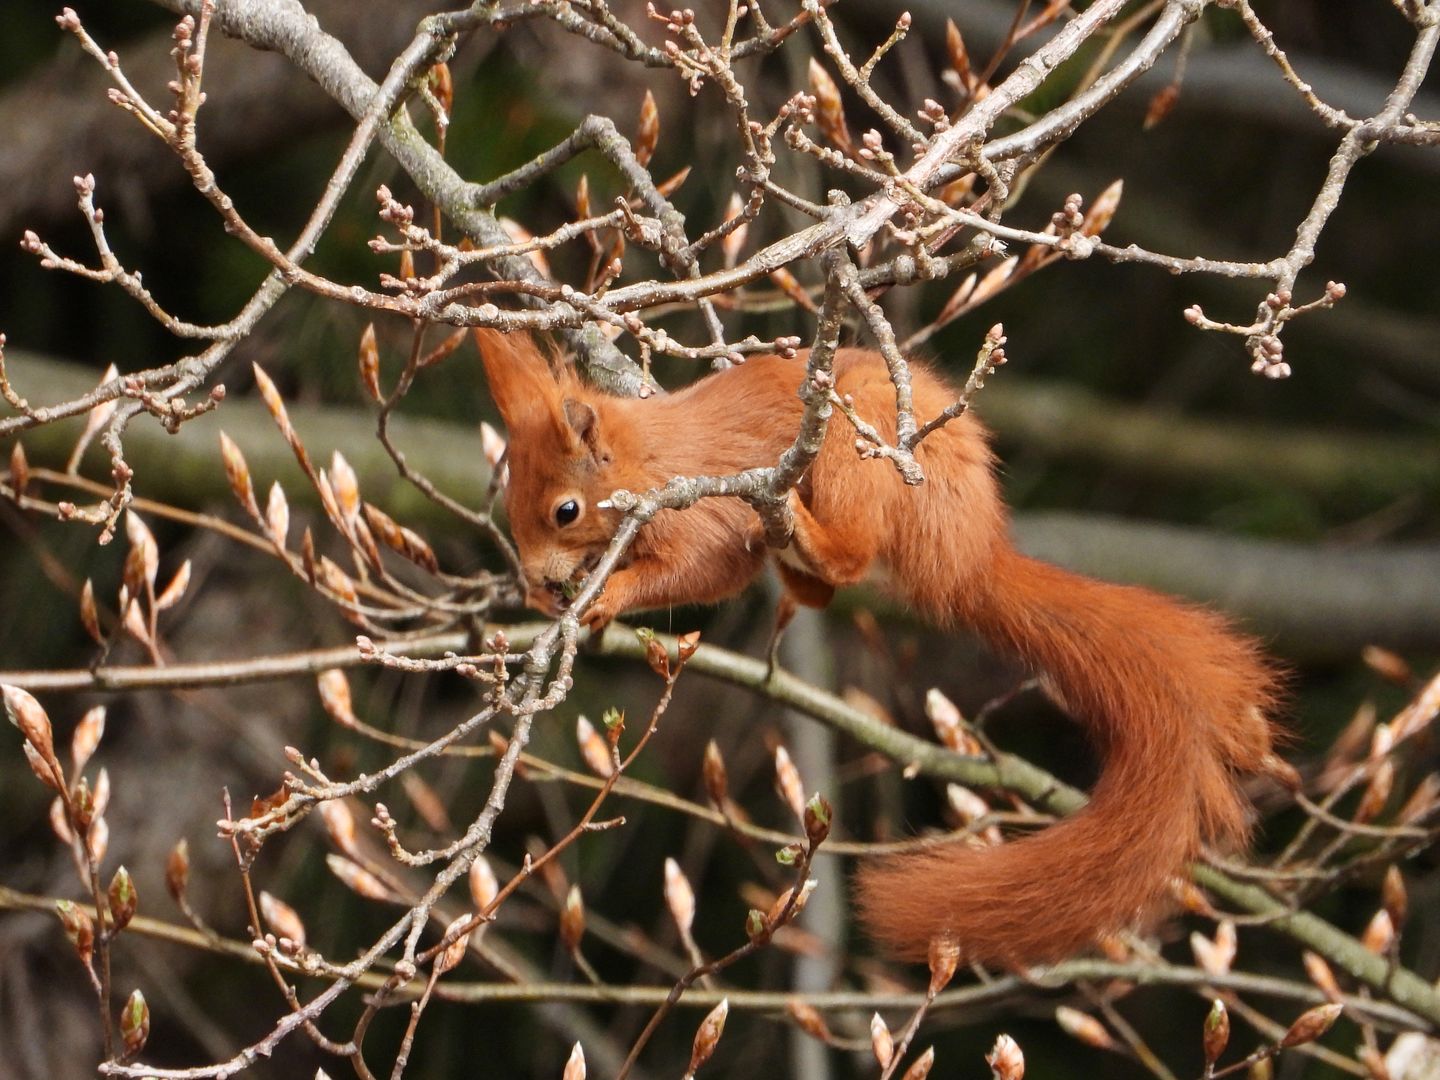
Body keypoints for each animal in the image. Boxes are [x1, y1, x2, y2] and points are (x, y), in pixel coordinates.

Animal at [480, 328, 1284, 961]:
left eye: (565, 510)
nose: (536, 581)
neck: (645, 455)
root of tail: (969, 559)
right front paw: (568, 601)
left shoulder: (702, 507)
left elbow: (701, 567)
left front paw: (604, 596)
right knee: (822, 592)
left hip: (852, 450)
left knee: (850, 556)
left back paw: (807, 532)